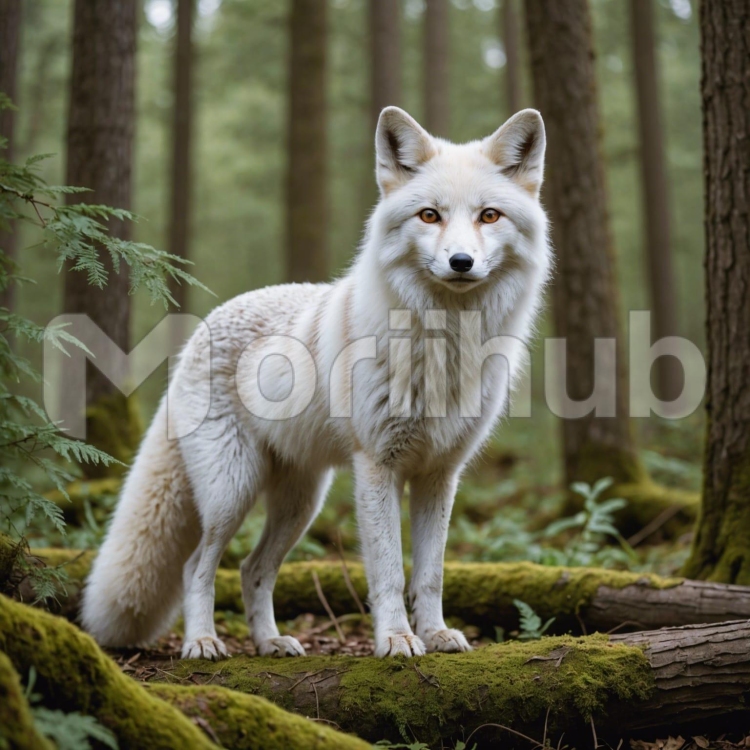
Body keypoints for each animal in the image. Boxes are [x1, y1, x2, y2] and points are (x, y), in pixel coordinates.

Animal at [81, 106, 551, 660]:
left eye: (489, 216)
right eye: (429, 216)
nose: (461, 262)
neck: (445, 344)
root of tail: (204, 325)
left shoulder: (439, 474)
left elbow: (431, 574)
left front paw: (435, 634)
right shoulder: (377, 466)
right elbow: (390, 573)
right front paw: (396, 640)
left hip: (300, 505)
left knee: (253, 569)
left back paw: (270, 642)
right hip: (232, 491)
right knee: (197, 565)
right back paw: (203, 641)